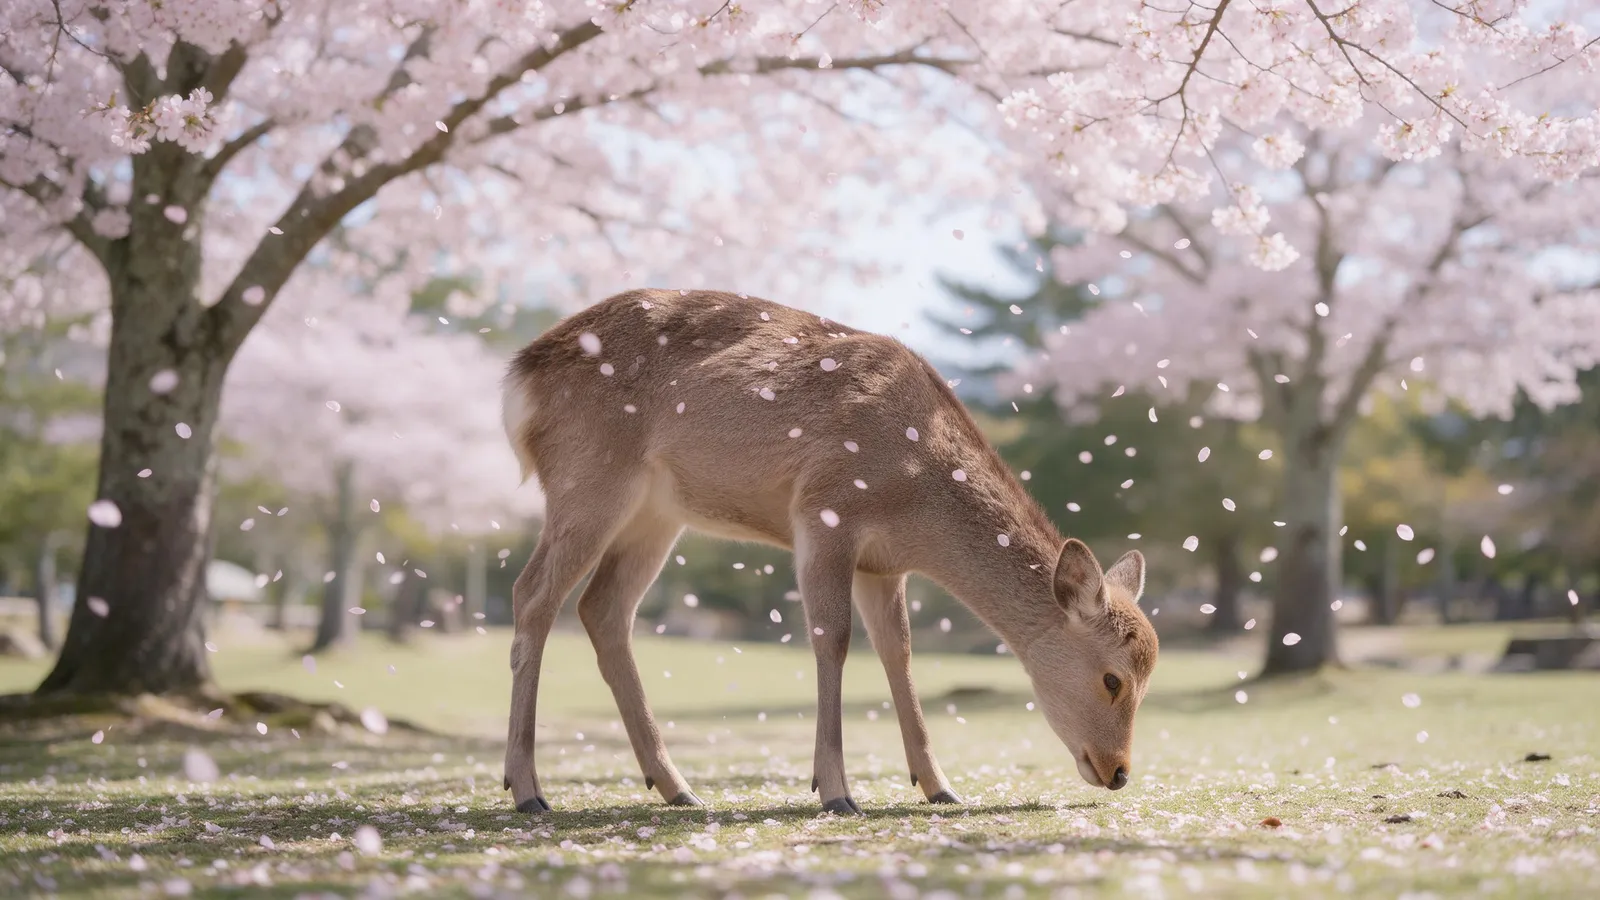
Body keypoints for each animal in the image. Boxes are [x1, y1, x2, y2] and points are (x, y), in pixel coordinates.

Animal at [500, 289, 1159, 815]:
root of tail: (519, 376)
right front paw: (837, 791)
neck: (916, 499)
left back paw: (677, 788)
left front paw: (940, 786)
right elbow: (832, 638)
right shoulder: (823, 512)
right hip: (589, 477)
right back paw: (528, 790)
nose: (1119, 772)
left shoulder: (883, 564)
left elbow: (899, 651)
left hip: (657, 514)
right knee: (532, 593)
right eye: (1112, 679)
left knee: (603, 608)